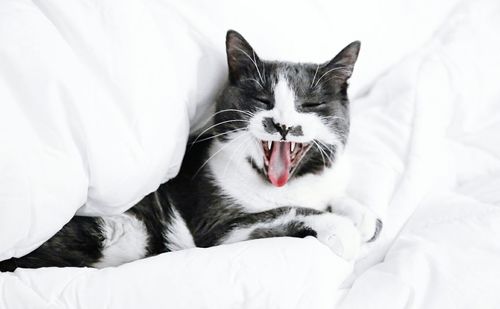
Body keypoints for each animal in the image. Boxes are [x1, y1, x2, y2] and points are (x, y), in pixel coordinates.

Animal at [0, 30, 380, 270]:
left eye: (310, 105)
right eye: (262, 100)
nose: (282, 125)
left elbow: (332, 198)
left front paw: (361, 215)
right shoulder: (218, 227)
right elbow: (282, 211)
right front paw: (343, 230)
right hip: (123, 231)